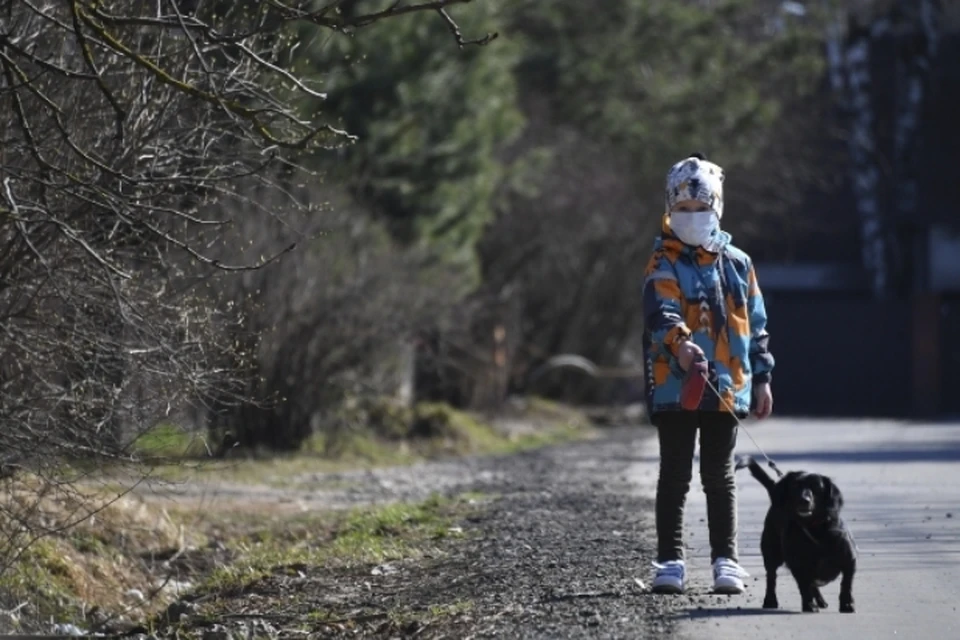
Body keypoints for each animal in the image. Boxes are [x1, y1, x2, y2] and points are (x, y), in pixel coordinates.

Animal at [736, 458, 856, 612]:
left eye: (817, 487)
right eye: (795, 486)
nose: (804, 500)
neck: (814, 528)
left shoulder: (849, 561)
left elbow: (846, 584)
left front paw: (846, 604)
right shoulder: (798, 565)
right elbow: (804, 586)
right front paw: (809, 605)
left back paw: (821, 600)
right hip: (771, 554)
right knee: (771, 577)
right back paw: (770, 600)